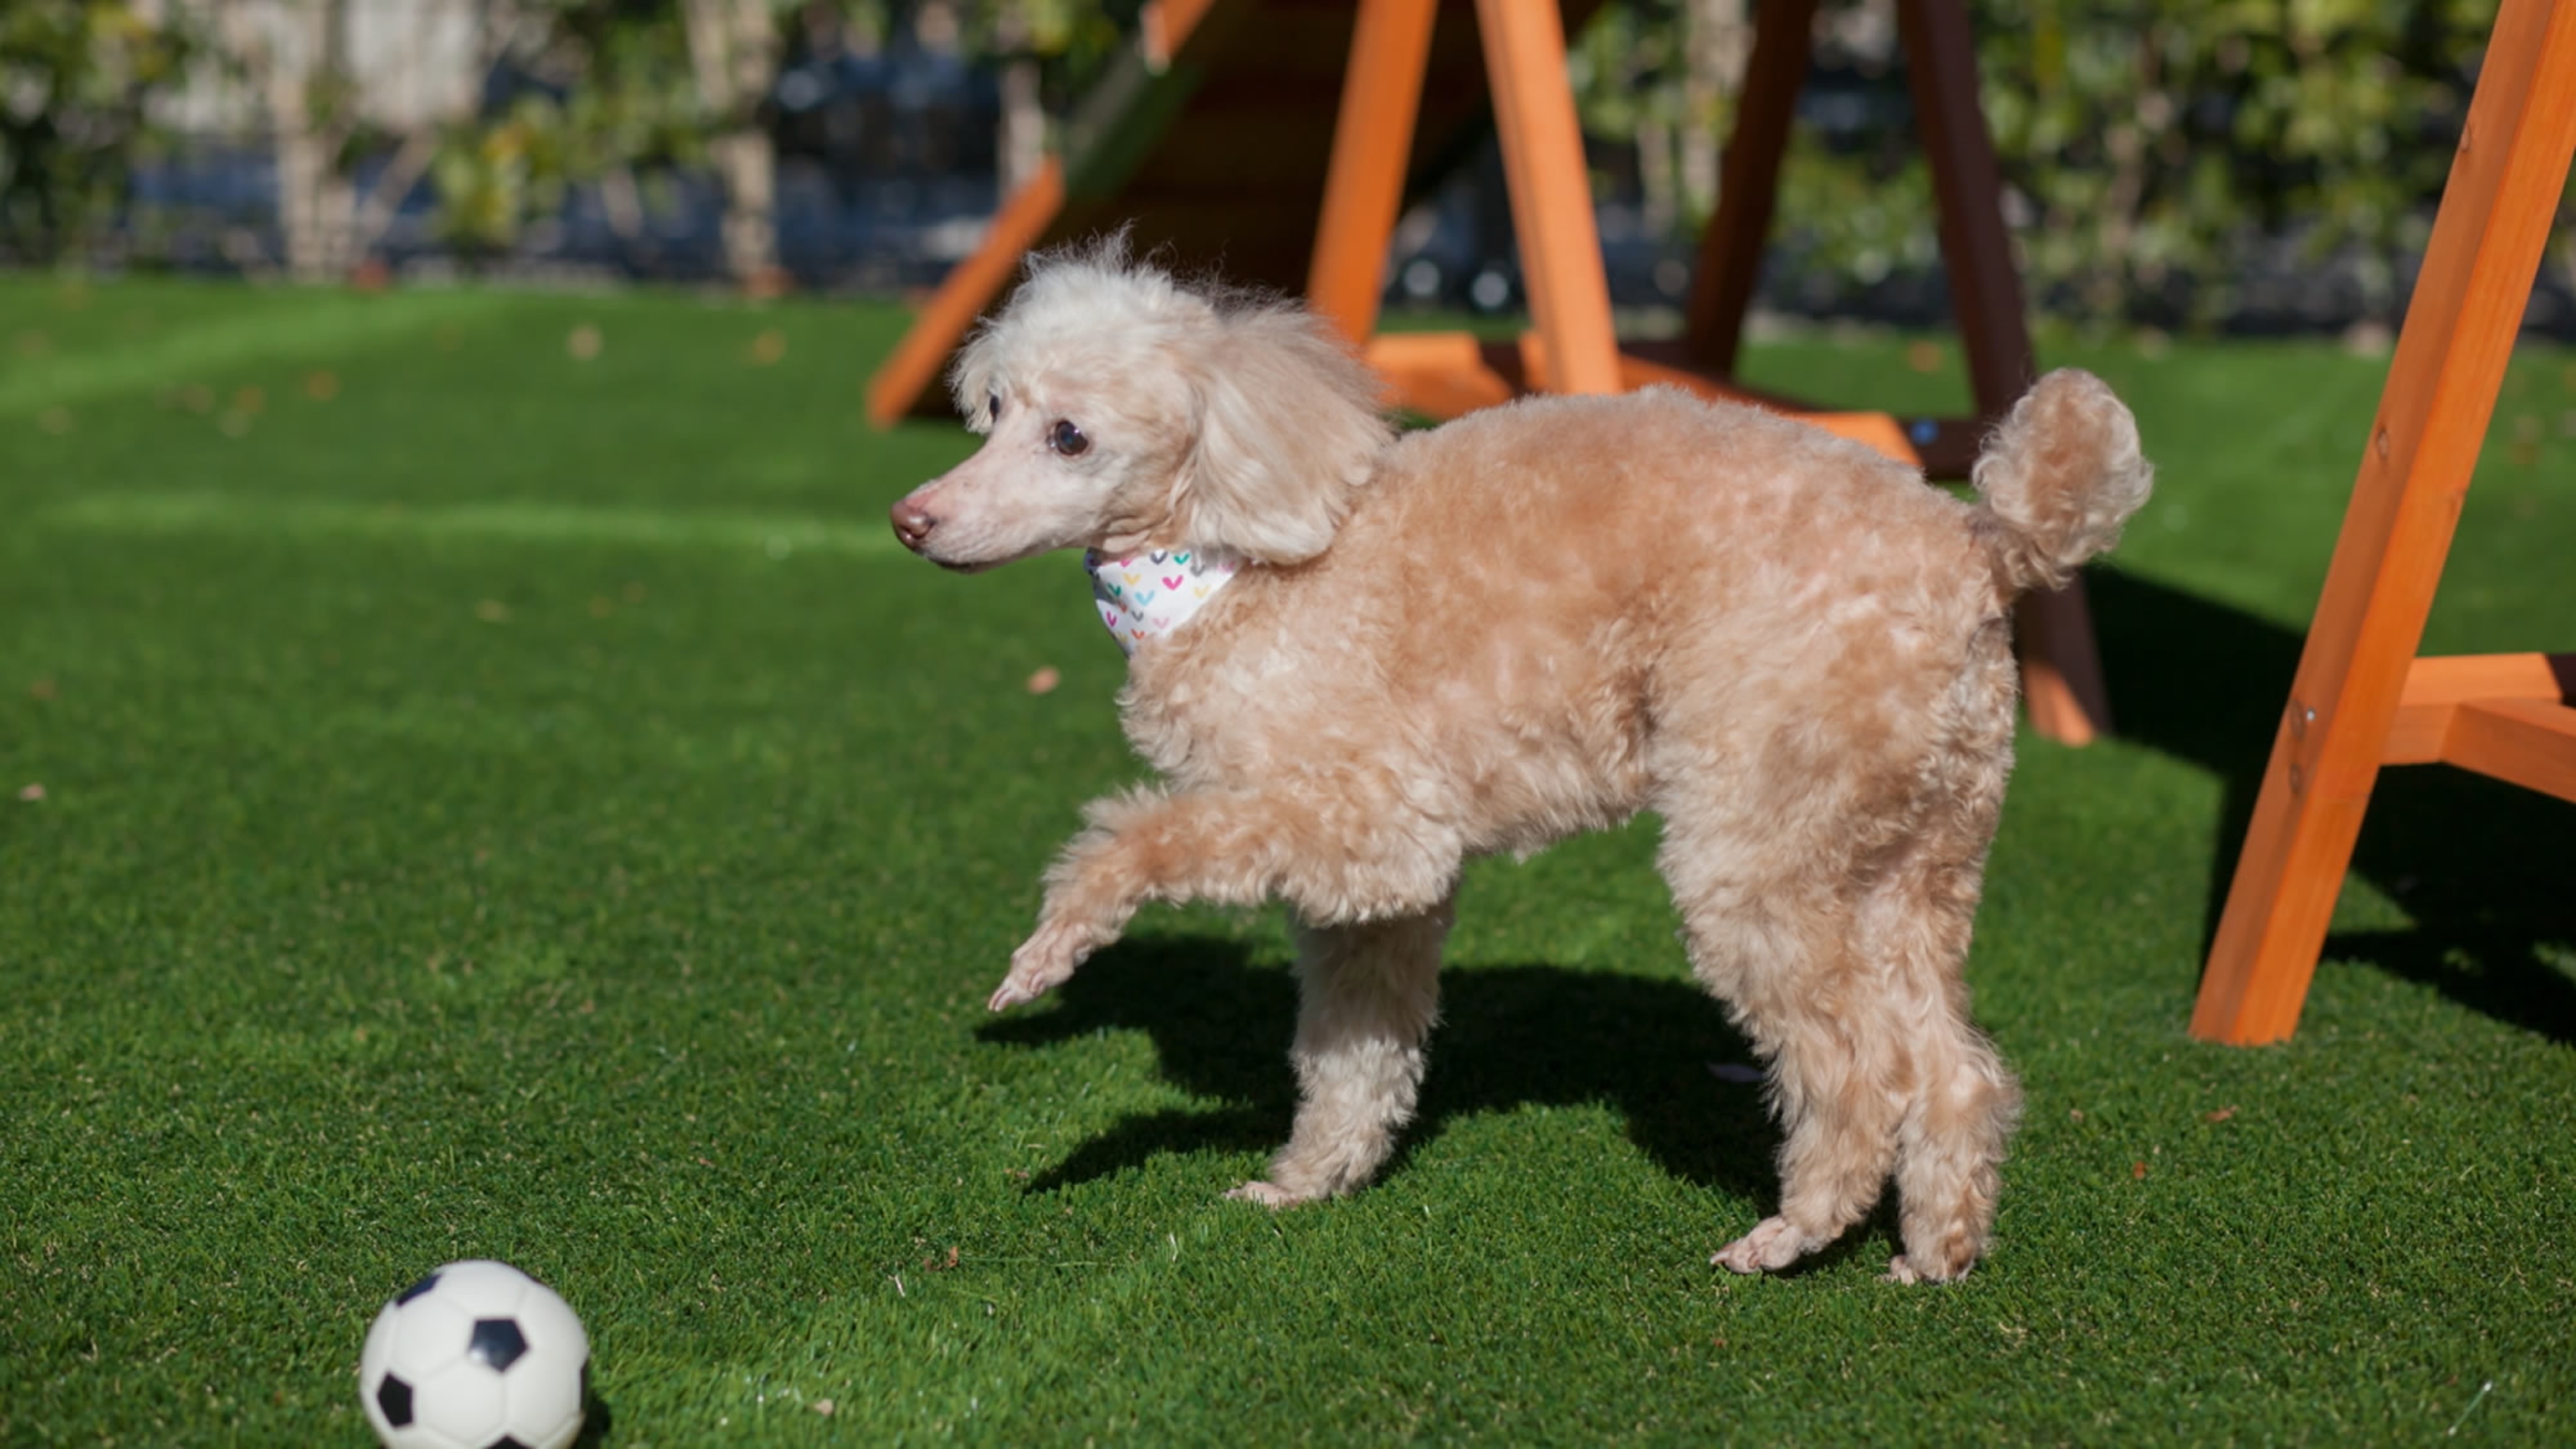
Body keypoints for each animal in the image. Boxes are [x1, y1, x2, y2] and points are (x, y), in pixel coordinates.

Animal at [896, 242, 2143, 1279]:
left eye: (1069, 436)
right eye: (993, 410)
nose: (912, 520)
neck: (1229, 562)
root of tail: (1980, 544)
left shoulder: (1369, 821)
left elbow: (1141, 834)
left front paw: (1050, 955)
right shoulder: (1372, 898)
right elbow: (1352, 1053)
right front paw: (1307, 1182)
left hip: (1759, 850)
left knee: (1856, 1072)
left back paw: (1794, 1233)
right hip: (1909, 856)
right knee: (1954, 1069)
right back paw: (1937, 1250)